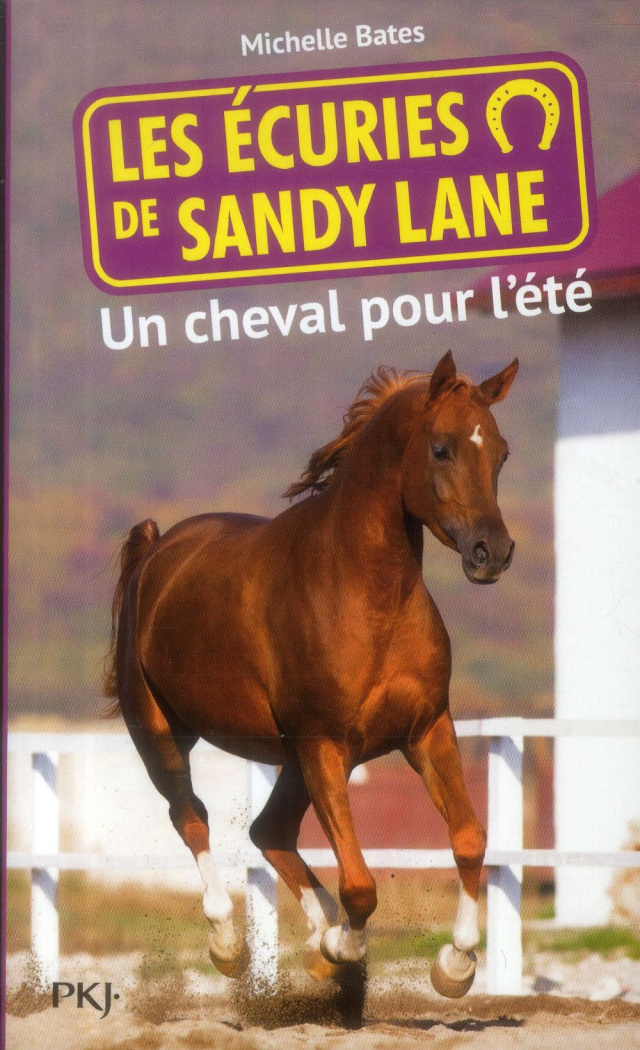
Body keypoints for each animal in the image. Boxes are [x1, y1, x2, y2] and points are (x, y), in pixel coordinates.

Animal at [104, 349, 518, 997]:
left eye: (501, 452)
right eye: (442, 448)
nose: (491, 553)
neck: (365, 595)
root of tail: (154, 551)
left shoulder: (426, 730)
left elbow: (470, 839)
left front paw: (454, 965)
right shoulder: (326, 744)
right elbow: (361, 885)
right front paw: (345, 948)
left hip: (294, 760)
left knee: (268, 832)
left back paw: (318, 934)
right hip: (164, 736)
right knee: (191, 815)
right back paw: (231, 943)